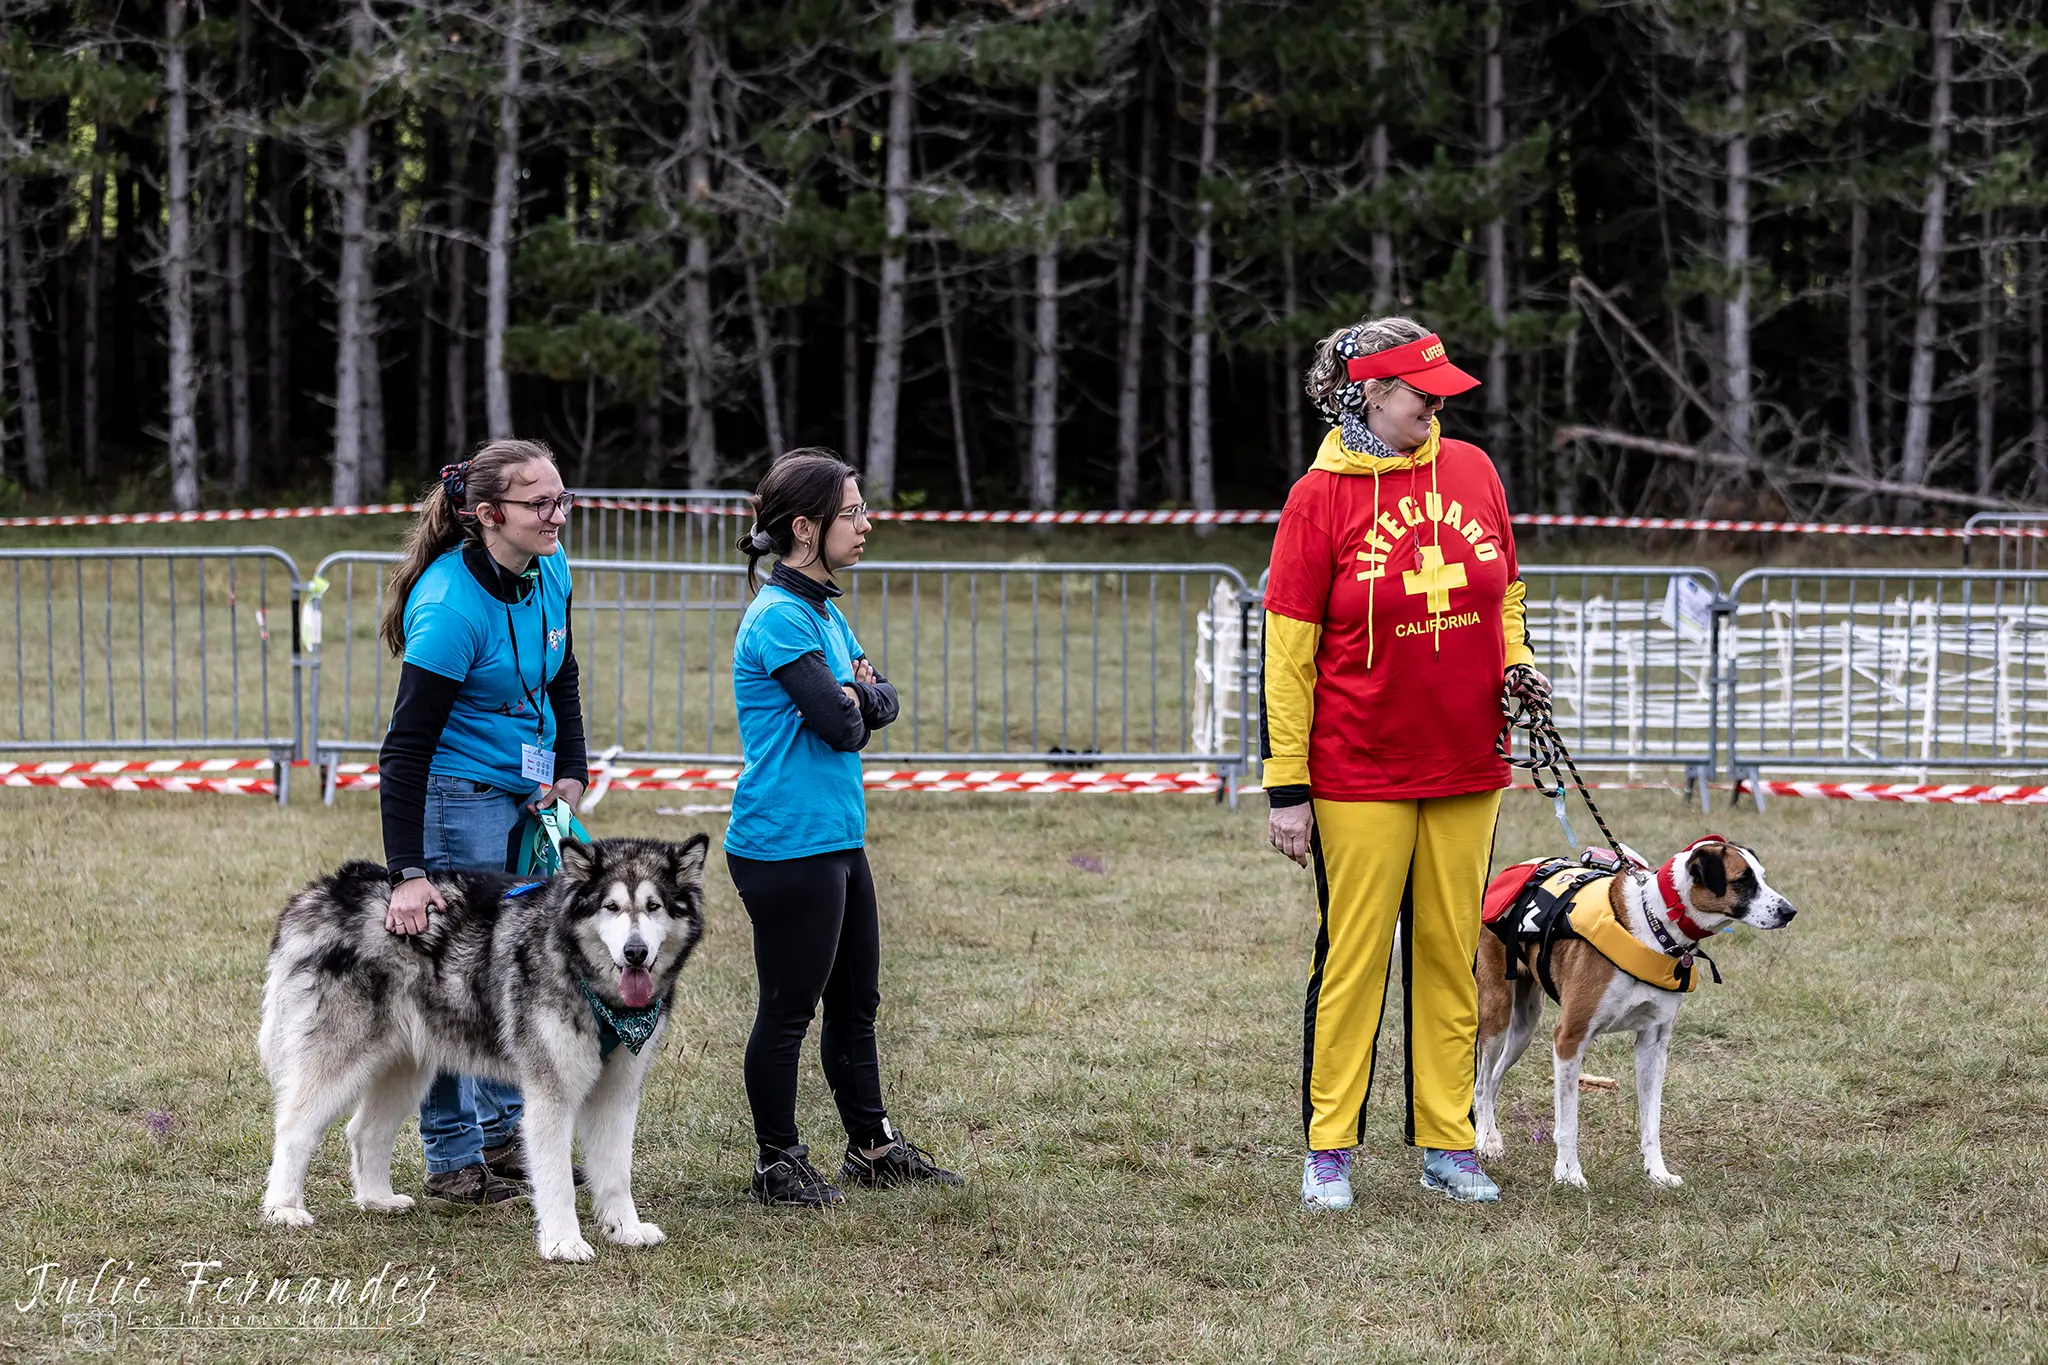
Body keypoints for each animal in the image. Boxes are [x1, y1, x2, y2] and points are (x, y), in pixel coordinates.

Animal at [260, 839, 708, 1268]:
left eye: (653, 906)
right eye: (611, 907)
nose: (635, 952)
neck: (580, 971)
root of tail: (324, 891)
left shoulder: (618, 1091)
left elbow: (616, 1174)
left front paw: (625, 1230)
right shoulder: (551, 1094)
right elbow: (558, 1179)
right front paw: (563, 1243)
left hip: (406, 1066)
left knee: (364, 1130)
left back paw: (377, 1200)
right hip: (341, 1058)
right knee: (294, 1128)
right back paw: (283, 1208)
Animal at [1474, 839, 1794, 1186]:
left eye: (1761, 876)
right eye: (1743, 880)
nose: (1790, 912)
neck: (1655, 927)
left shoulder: (1653, 1042)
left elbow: (1651, 1121)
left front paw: (1658, 1172)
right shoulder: (1569, 1038)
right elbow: (1570, 1122)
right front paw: (1568, 1173)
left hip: (1525, 1027)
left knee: (1493, 1080)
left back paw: (1491, 1138)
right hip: (1497, 1014)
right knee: (1481, 1084)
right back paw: (1482, 1143)